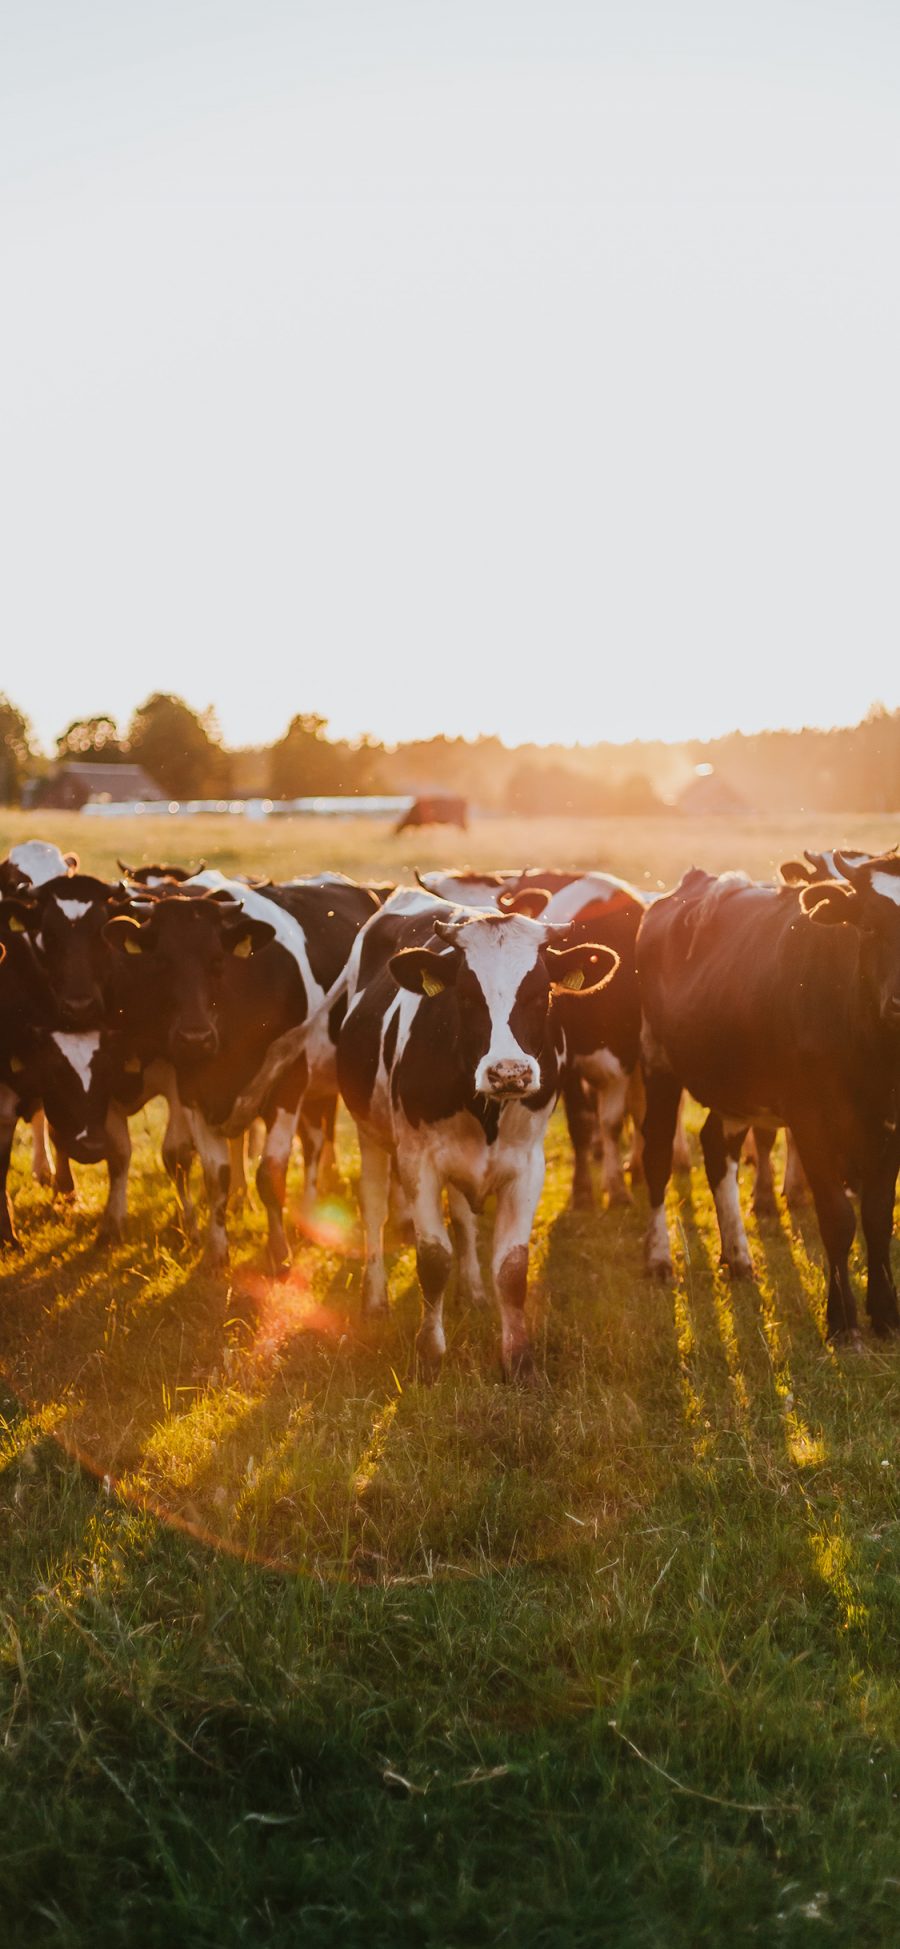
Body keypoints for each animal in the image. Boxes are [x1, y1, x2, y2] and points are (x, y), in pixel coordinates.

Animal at [335, 892, 619, 1379]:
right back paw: (374, 1301)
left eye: (540, 993)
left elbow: (512, 1267)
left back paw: (472, 1292)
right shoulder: (417, 1160)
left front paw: (519, 1361)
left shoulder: (527, 1164)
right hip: (369, 1132)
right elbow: (433, 1258)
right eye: (467, 996)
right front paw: (430, 1355)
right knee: (372, 1208)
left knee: (465, 1221)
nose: (509, 1072)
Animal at [635, 861, 900, 1348]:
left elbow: (876, 1215)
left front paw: (887, 1314)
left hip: (735, 1088)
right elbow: (837, 1217)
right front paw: (843, 1321)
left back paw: (738, 1256)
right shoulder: (809, 1116)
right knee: (658, 1155)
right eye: (870, 926)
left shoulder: (892, 1122)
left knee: (716, 1148)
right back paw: (659, 1256)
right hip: (657, 1060)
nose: (899, 1001)